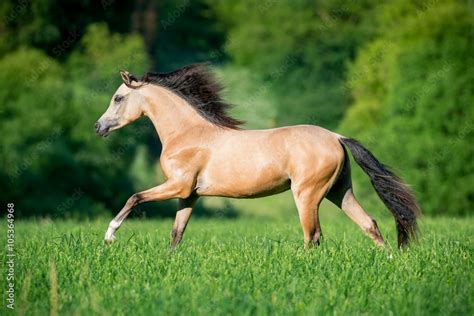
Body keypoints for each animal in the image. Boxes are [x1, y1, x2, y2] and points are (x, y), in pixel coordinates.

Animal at [95, 63, 418, 248]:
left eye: (118, 98)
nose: (98, 127)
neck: (187, 134)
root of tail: (336, 137)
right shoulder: (189, 194)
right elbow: (176, 234)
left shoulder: (177, 185)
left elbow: (134, 197)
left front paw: (109, 236)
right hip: (339, 191)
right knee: (370, 225)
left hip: (307, 195)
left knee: (313, 236)